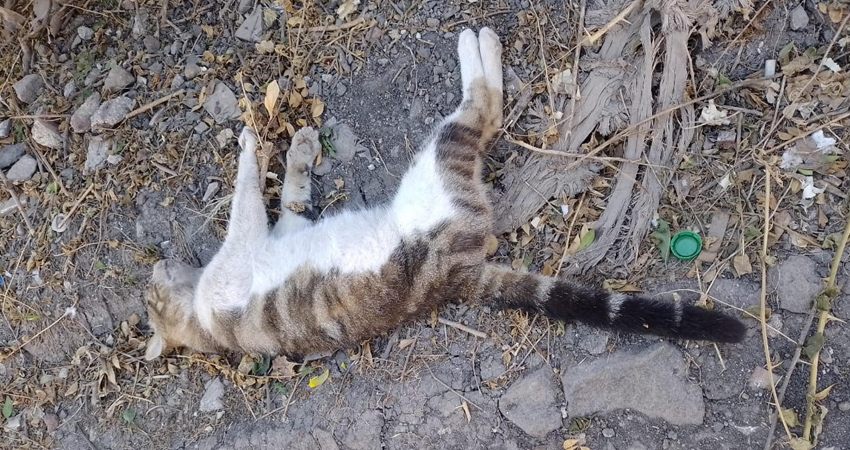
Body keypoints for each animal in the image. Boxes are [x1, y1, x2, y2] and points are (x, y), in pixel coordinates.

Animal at [141, 29, 744, 362]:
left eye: (148, 293)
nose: (155, 269)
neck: (201, 322)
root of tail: (461, 274)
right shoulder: (237, 261)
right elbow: (245, 196)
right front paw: (252, 147)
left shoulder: (279, 232)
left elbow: (287, 196)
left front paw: (297, 150)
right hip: (437, 165)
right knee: (483, 110)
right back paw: (479, 44)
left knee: (485, 112)